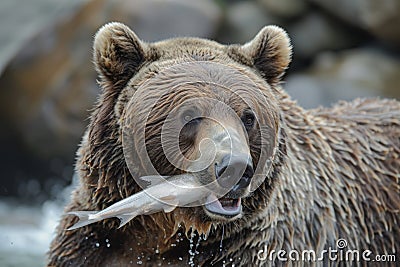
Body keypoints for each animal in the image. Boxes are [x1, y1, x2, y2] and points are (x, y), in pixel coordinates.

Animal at [47, 22, 400, 266]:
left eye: (248, 116)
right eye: (188, 115)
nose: (235, 166)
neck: (162, 233)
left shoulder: (253, 249)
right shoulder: (97, 244)